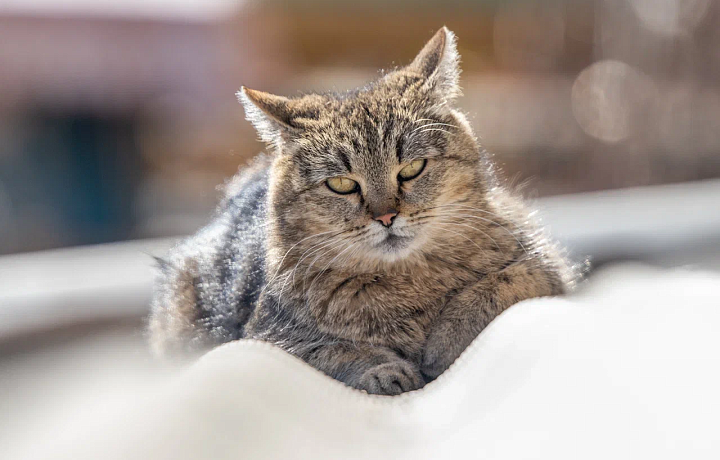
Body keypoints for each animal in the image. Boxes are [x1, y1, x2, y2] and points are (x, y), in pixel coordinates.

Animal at [149, 27, 576, 396]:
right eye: (341, 184)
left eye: (411, 168)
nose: (386, 217)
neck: (407, 283)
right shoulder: (267, 336)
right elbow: (331, 349)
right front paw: (384, 368)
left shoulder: (546, 264)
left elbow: (501, 284)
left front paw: (446, 338)